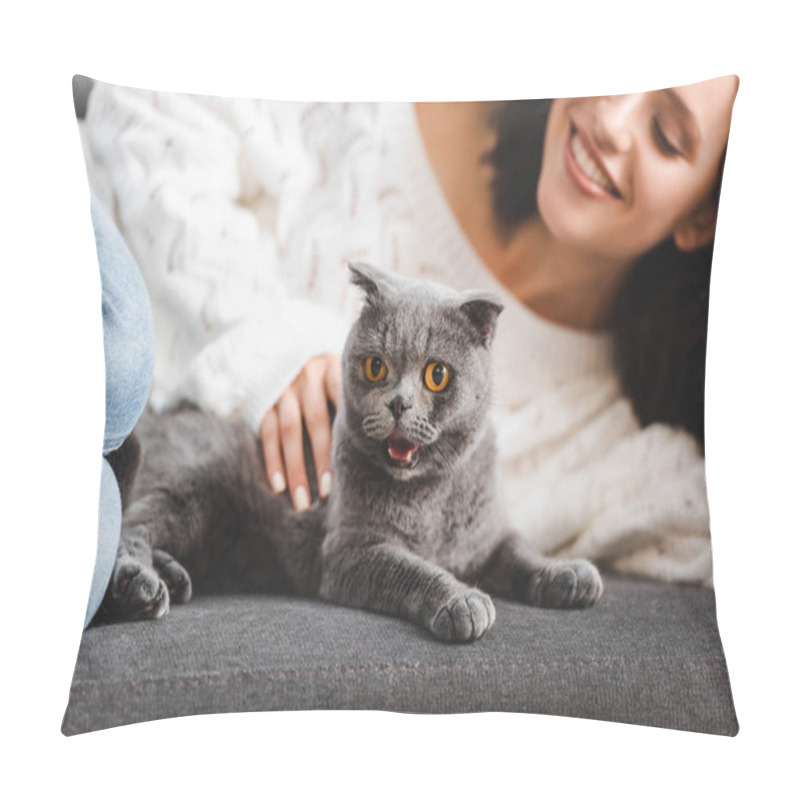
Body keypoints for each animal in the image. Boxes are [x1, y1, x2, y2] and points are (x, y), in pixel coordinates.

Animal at [108, 266, 608, 640]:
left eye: (438, 375)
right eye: (375, 367)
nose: (399, 403)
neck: (429, 501)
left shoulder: (486, 536)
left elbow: (520, 549)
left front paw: (566, 574)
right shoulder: (349, 552)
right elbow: (410, 568)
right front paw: (461, 601)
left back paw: (172, 578)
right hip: (192, 486)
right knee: (129, 529)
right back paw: (140, 587)